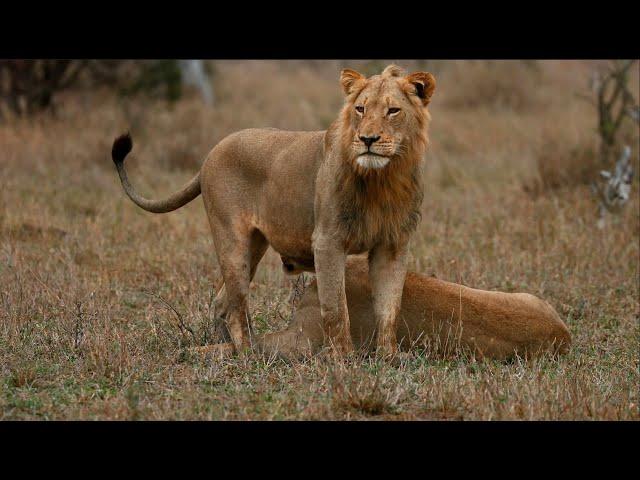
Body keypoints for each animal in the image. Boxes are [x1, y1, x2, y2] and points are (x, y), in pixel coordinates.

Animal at [114, 63, 436, 356]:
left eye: (393, 111)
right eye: (360, 109)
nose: (368, 139)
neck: (384, 178)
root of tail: (211, 153)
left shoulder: (393, 245)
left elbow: (389, 308)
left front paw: (388, 357)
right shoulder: (328, 240)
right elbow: (335, 307)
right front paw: (343, 360)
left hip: (255, 245)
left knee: (222, 300)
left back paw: (224, 346)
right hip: (232, 241)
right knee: (236, 305)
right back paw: (247, 353)